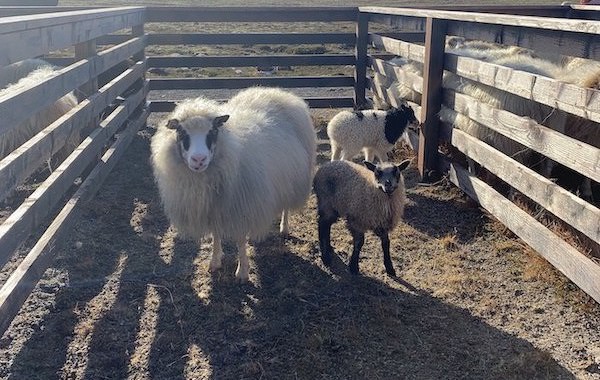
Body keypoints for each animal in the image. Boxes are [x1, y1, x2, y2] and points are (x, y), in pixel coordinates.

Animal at [150, 87, 316, 282]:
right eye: (182, 133)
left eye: (212, 132)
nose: (199, 159)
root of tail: (277, 91)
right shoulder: (215, 207)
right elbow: (215, 234)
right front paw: (214, 261)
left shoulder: (240, 206)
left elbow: (240, 239)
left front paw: (242, 271)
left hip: (293, 178)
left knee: (285, 207)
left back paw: (284, 227)